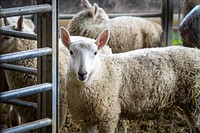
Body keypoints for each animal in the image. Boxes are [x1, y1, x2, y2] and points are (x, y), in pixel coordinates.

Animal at [60, 26, 200, 132]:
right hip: (187, 105)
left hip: (196, 102)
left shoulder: (109, 116)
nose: (82, 73)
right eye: (71, 52)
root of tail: (196, 51)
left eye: (95, 53)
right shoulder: (85, 121)